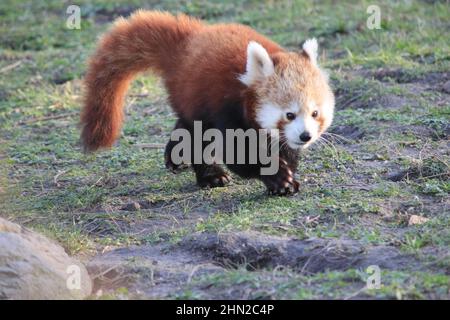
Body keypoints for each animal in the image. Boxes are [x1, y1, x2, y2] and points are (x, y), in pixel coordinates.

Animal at [80, 10, 334, 195]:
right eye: (289, 114)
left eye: (315, 113)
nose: (305, 136)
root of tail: (189, 40)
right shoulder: (227, 108)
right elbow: (238, 153)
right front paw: (278, 177)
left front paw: (286, 173)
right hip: (196, 97)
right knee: (196, 137)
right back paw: (211, 176)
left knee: (183, 126)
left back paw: (175, 157)